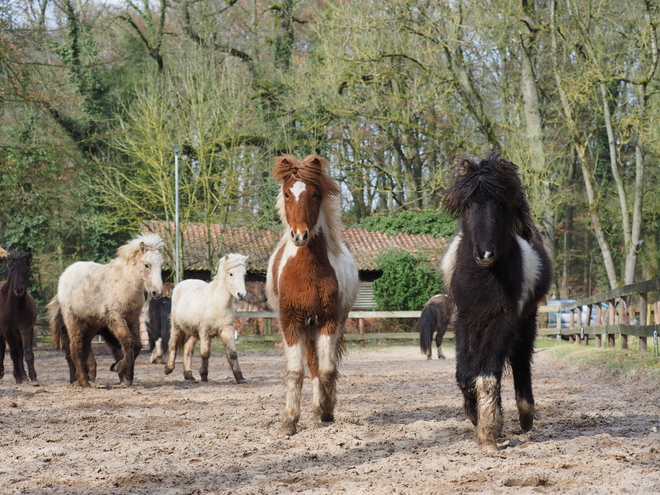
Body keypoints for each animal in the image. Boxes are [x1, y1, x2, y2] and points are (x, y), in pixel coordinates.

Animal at [0, 254, 38, 386]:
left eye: (26, 271)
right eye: (12, 271)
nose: (18, 289)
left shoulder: (26, 328)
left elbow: (27, 353)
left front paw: (33, 378)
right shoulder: (6, 331)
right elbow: (13, 353)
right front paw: (17, 377)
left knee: (20, 351)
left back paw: (24, 376)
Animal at [47, 232, 164, 388]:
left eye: (161, 265)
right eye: (147, 265)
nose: (157, 292)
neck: (125, 283)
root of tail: (64, 277)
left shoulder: (133, 317)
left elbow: (137, 345)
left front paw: (124, 373)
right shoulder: (115, 316)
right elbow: (128, 341)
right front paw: (119, 368)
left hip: (91, 325)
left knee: (85, 345)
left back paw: (90, 374)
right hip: (73, 321)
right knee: (76, 347)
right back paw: (84, 382)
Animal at [164, 254, 249, 386]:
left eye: (244, 274)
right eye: (231, 274)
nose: (241, 294)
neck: (218, 304)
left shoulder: (227, 330)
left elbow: (232, 354)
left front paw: (240, 378)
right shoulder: (205, 332)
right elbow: (205, 353)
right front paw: (204, 376)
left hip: (194, 333)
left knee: (187, 348)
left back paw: (189, 375)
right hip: (177, 326)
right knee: (173, 344)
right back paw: (168, 369)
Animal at [266, 155, 358, 438]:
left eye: (315, 194)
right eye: (287, 193)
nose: (300, 235)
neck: (306, 272)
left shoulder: (329, 320)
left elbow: (328, 370)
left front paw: (325, 410)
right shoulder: (290, 322)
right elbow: (296, 372)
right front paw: (289, 421)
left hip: (325, 324)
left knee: (322, 366)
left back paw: (321, 408)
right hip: (307, 327)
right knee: (311, 364)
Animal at [444, 154, 552, 454]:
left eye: (501, 205)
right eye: (469, 204)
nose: (485, 253)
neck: (485, 277)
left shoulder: (503, 319)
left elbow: (488, 374)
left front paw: (489, 430)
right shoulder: (465, 318)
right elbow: (465, 374)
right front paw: (474, 415)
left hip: (525, 320)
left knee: (520, 360)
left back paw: (526, 416)